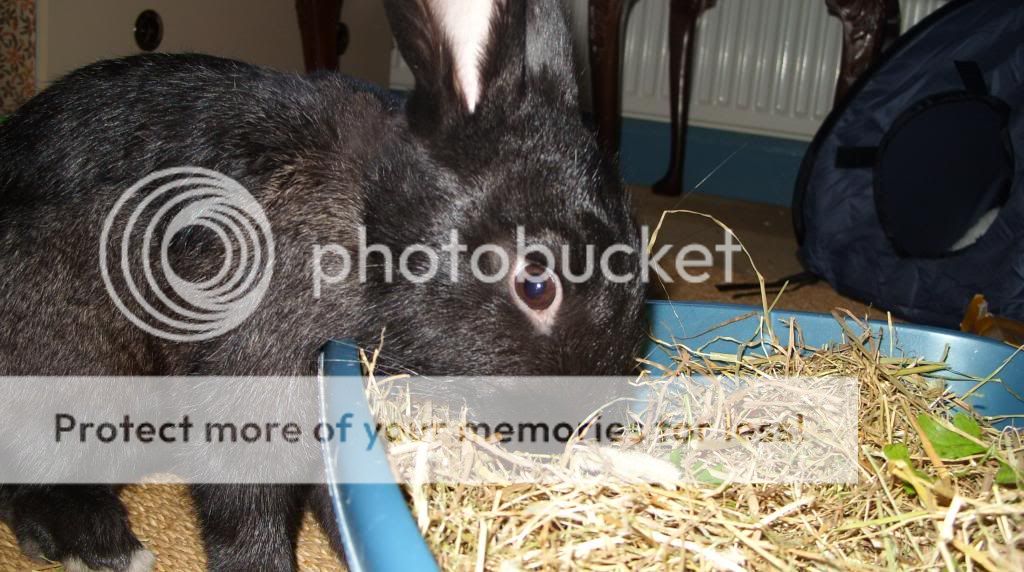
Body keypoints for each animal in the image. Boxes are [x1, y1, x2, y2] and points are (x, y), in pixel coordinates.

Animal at [0, 1, 638, 568]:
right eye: (536, 286)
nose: (572, 433)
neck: (363, 221)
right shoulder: (252, 376)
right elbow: (244, 500)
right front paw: (260, 567)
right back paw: (104, 546)